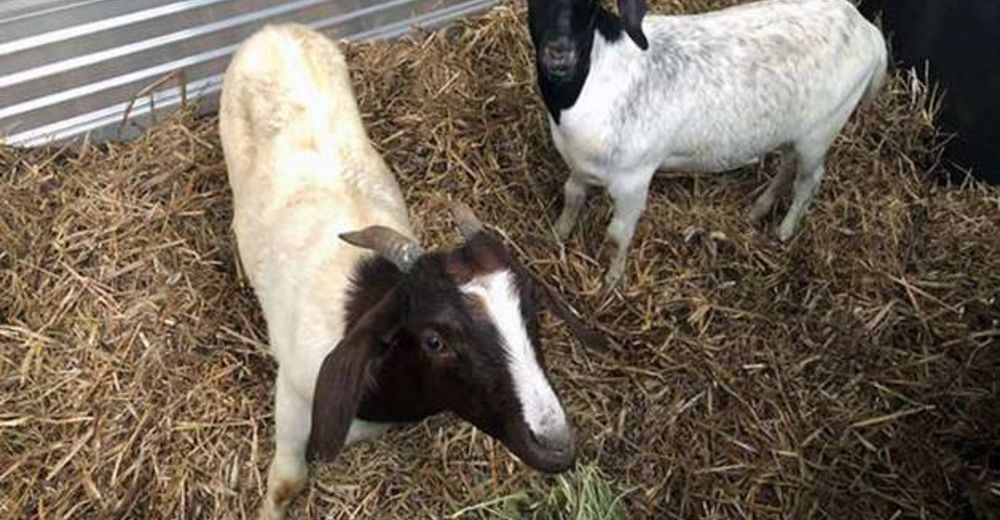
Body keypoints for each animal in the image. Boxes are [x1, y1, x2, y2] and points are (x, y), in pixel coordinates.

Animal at [220, 24, 588, 520]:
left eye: (533, 311)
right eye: (434, 340)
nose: (554, 445)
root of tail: (276, 29)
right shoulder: (292, 395)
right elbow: (287, 482)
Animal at [528, 0, 888, 286]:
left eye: (589, 4)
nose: (560, 54)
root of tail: (868, 30)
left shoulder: (633, 178)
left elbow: (618, 234)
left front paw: (611, 282)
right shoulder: (581, 163)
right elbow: (572, 195)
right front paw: (556, 236)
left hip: (823, 129)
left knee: (810, 180)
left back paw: (785, 230)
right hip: (795, 131)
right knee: (788, 164)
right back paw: (759, 209)